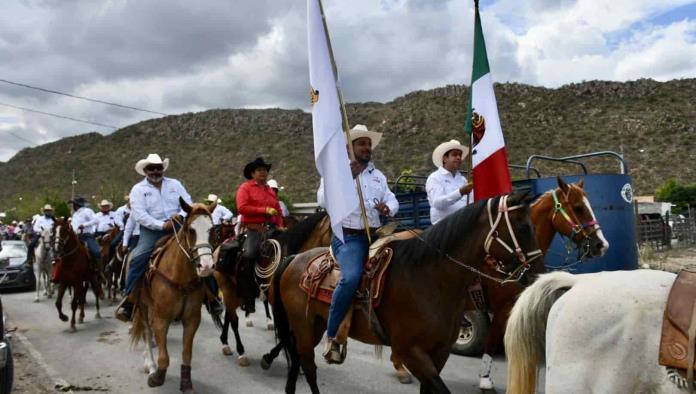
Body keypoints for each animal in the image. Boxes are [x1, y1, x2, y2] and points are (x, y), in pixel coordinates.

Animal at [129, 200, 216, 394]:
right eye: (191, 230)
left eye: (212, 229)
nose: (206, 266)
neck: (180, 278)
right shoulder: (161, 318)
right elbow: (164, 357)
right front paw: (157, 377)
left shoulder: (192, 319)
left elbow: (187, 354)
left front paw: (186, 383)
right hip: (143, 306)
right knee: (147, 333)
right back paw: (150, 365)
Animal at [213, 211, 330, 368]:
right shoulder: (280, 305)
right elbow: (286, 333)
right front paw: (270, 357)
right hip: (227, 288)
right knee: (234, 320)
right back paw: (241, 352)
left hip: (235, 292)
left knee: (229, 316)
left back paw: (225, 342)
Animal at [272, 192, 544, 392]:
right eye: (522, 227)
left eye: (533, 225)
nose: (537, 276)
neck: (428, 279)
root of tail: (294, 258)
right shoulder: (411, 352)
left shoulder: (439, 352)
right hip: (303, 326)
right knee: (308, 367)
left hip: (316, 325)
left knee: (297, 359)